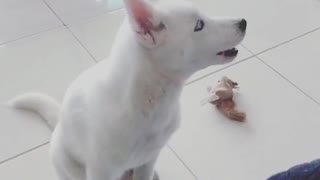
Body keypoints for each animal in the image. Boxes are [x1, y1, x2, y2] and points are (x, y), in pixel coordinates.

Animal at [8, 0, 246, 180]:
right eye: (199, 25)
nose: (244, 22)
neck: (149, 101)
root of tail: (58, 123)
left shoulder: (148, 159)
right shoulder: (101, 171)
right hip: (68, 163)